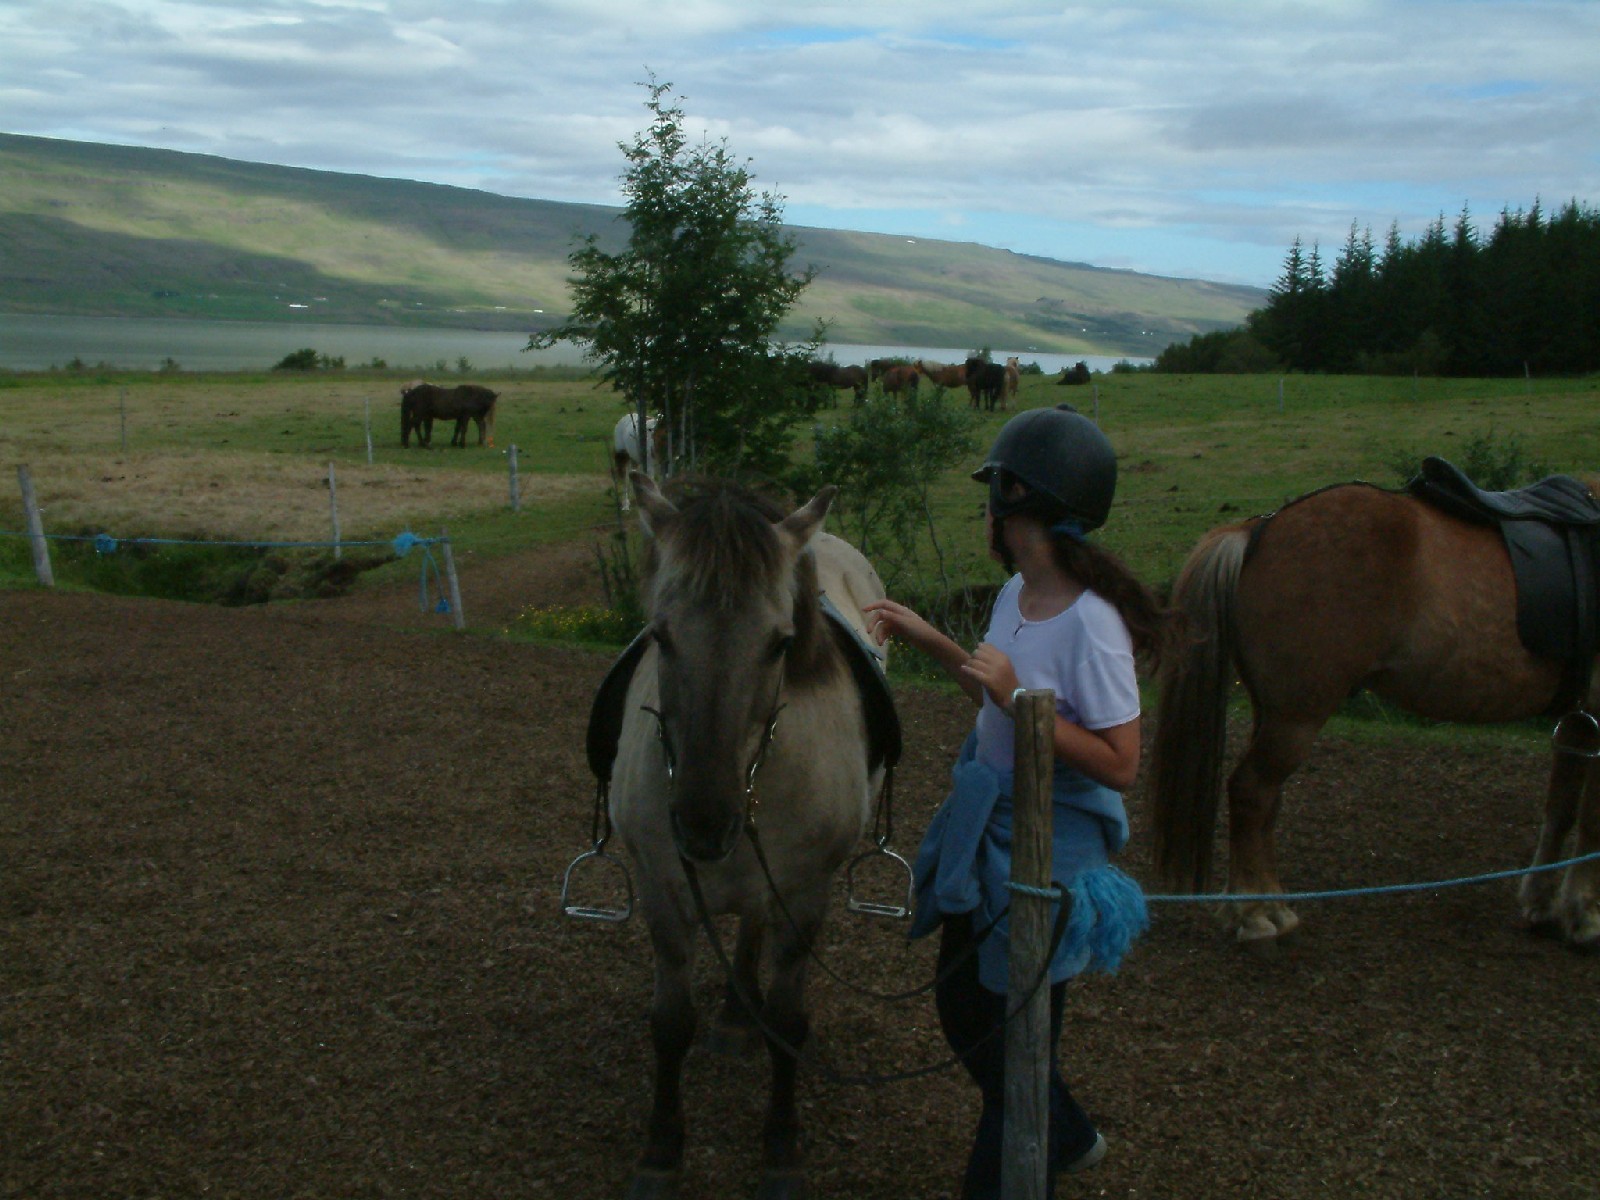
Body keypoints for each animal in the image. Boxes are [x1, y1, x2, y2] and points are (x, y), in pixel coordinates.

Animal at [608, 473, 896, 1196]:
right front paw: (661, 1147)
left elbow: (790, 1023)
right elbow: (670, 1024)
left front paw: (782, 1146)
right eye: (660, 635)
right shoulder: (661, 887)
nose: (703, 822)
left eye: (779, 643)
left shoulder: (805, 893)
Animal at [1152, 464, 1600, 953]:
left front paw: (1542, 902)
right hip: (1297, 718)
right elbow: (1591, 821)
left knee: (1266, 803)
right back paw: (1254, 914)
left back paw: (1265, 905)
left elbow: (1562, 809)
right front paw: (1585, 914)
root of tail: (1258, 529)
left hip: (1272, 713)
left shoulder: (1578, 723)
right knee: (1252, 792)